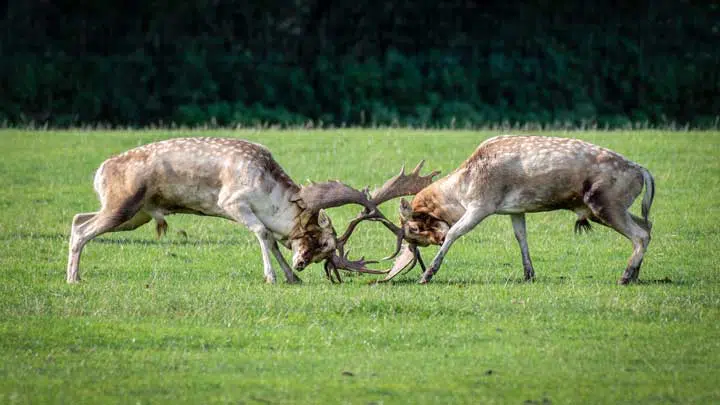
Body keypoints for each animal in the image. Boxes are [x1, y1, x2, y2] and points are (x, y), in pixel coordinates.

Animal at [67, 137, 436, 282]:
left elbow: (272, 240)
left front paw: (290, 278)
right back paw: (73, 278)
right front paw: (271, 277)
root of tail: (100, 171)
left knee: (77, 218)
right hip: (123, 204)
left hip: (136, 214)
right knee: (82, 230)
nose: (302, 265)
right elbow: (261, 232)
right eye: (321, 242)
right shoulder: (232, 202)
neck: (266, 189)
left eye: (323, 252)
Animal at [376, 135, 660, 284]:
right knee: (648, 224)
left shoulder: (482, 204)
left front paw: (427, 275)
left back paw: (625, 276)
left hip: (603, 203)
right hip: (613, 206)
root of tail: (643, 171)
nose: (435, 240)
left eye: (414, 228)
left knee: (641, 234)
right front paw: (528, 274)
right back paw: (636, 274)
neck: (463, 187)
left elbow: (456, 232)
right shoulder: (515, 209)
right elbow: (521, 236)